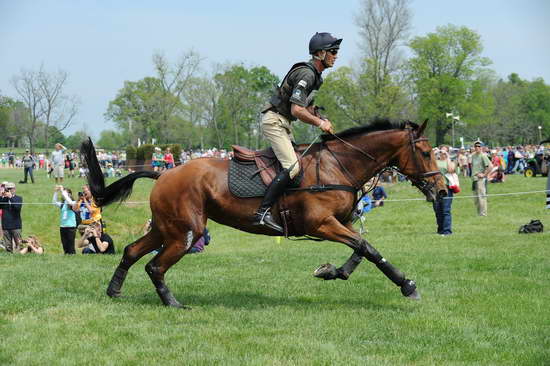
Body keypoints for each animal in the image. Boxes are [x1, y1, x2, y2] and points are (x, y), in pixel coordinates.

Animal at [81, 118, 448, 308]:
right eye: (426, 153)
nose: (442, 189)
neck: (338, 165)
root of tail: (165, 173)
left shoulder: (340, 222)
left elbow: (361, 250)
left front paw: (330, 271)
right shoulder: (321, 224)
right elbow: (368, 248)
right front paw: (407, 285)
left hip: (166, 228)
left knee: (131, 252)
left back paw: (114, 291)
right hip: (185, 232)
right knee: (155, 266)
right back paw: (173, 303)